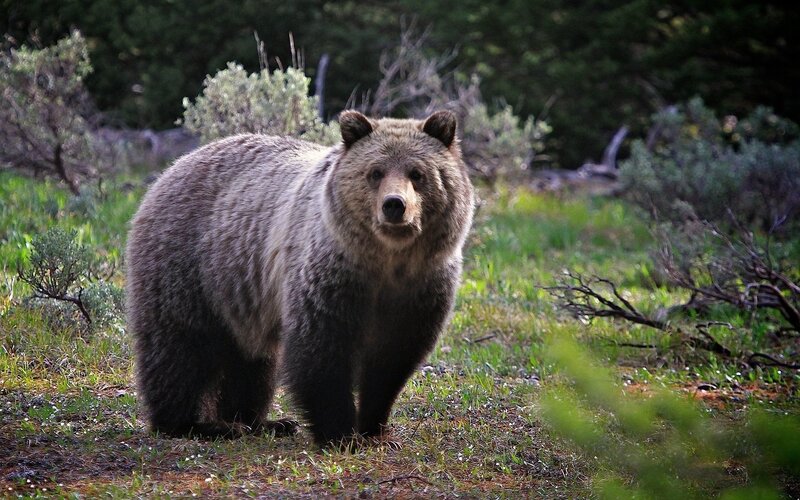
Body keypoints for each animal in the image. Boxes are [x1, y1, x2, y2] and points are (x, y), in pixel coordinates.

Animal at [125, 110, 474, 447]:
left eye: (417, 173)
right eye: (375, 172)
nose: (394, 205)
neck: (387, 261)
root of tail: (172, 168)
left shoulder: (421, 286)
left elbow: (392, 360)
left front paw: (376, 430)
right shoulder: (329, 274)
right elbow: (321, 350)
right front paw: (341, 434)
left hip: (241, 295)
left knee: (252, 361)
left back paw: (260, 422)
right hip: (190, 267)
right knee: (180, 347)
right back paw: (197, 424)